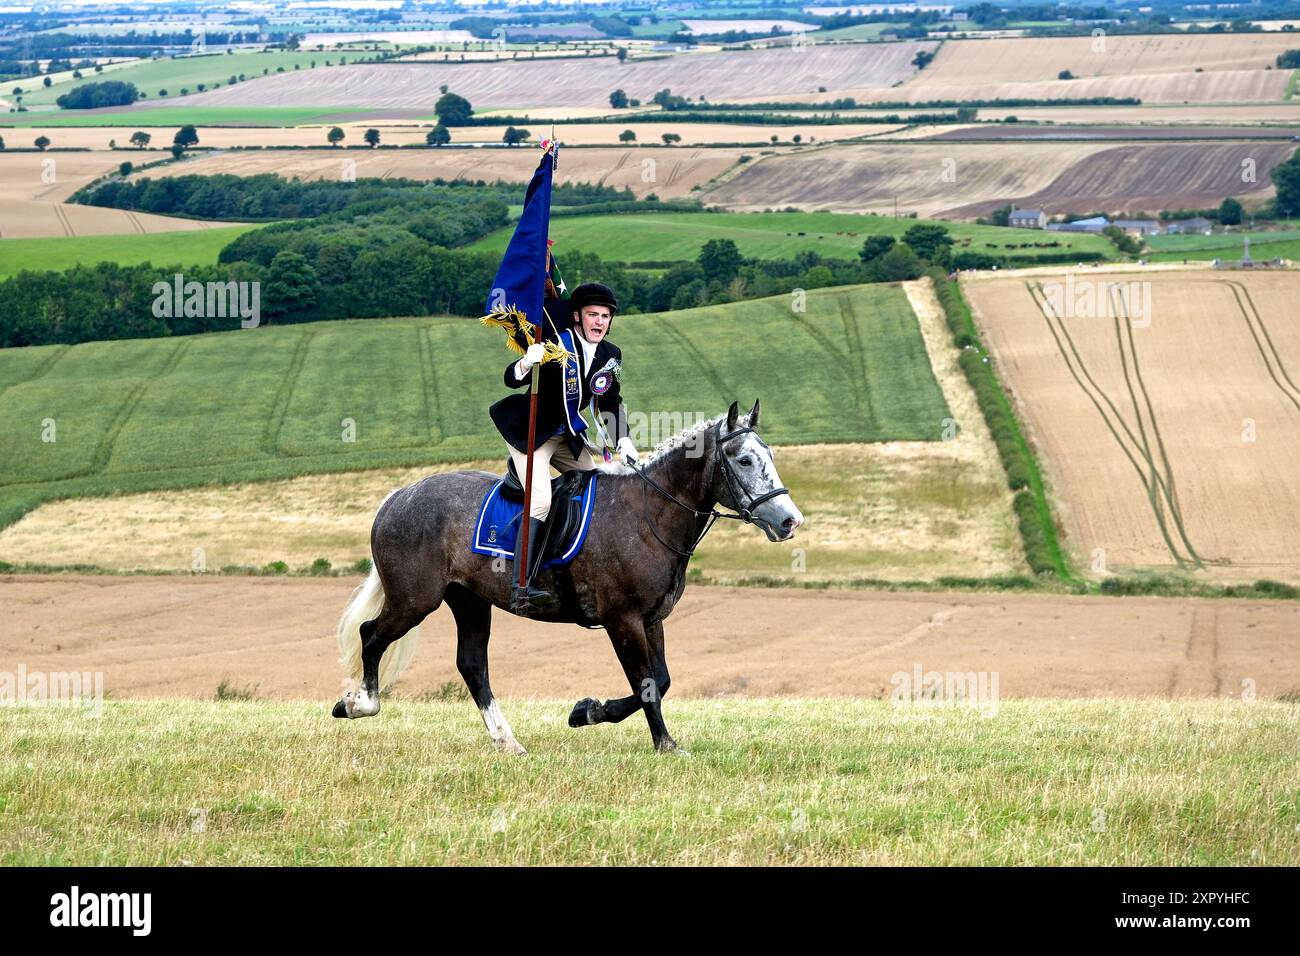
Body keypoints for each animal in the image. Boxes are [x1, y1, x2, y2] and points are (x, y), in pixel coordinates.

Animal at [332, 400, 800, 749]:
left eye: (771, 457)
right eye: (744, 460)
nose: (789, 521)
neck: (649, 515)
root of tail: (399, 496)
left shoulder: (651, 619)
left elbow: (661, 680)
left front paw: (588, 711)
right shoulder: (622, 619)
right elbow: (647, 682)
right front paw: (661, 743)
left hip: (469, 600)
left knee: (472, 665)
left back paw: (507, 741)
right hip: (415, 600)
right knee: (372, 635)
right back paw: (358, 703)